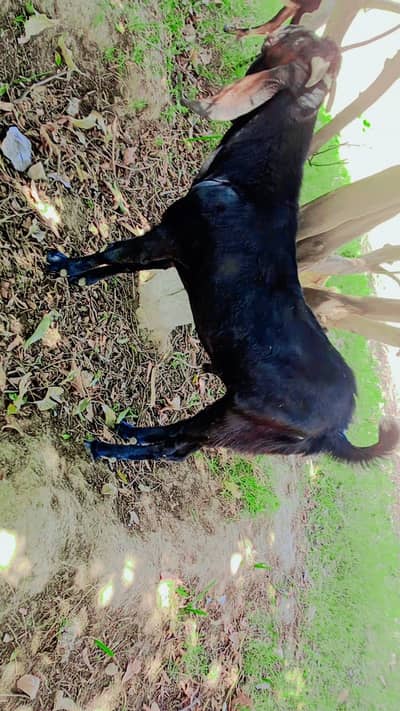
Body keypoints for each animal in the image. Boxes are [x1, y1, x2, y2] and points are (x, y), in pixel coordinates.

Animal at [47, 26, 399, 464]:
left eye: (298, 45)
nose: (284, 29)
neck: (249, 180)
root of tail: (335, 431)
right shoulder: (178, 252)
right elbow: (129, 263)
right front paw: (89, 279)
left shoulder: (172, 233)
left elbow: (118, 251)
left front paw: (66, 265)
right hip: (244, 421)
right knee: (181, 441)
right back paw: (131, 428)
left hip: (241, 421)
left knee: (178, 446)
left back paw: (108, 448)